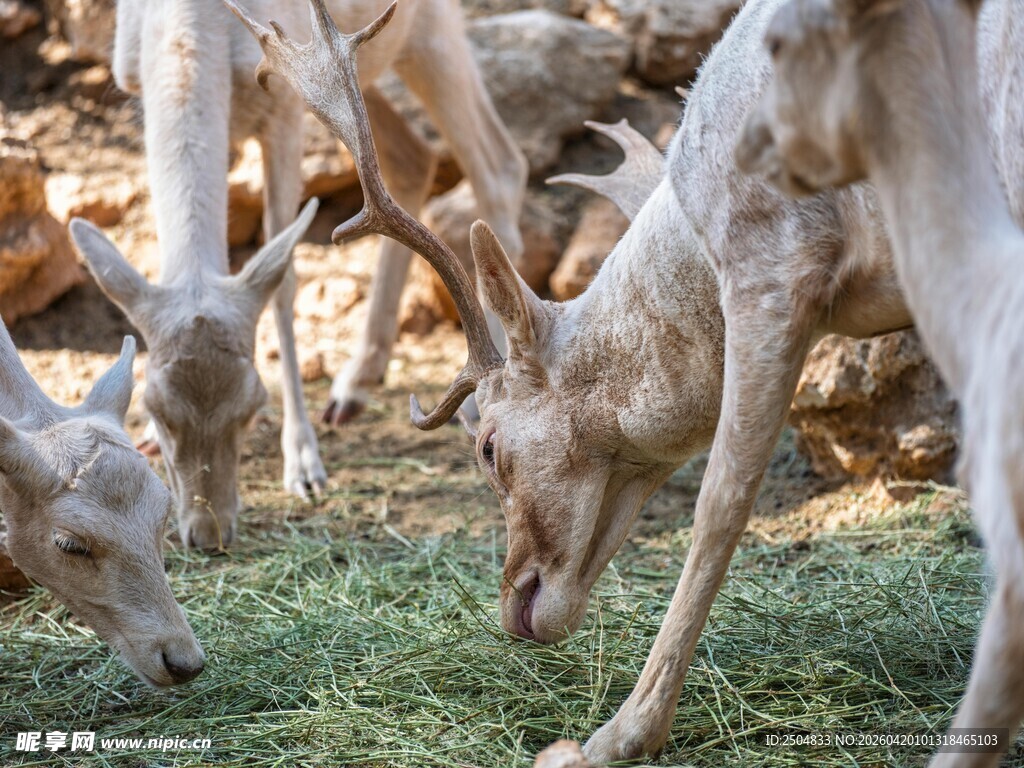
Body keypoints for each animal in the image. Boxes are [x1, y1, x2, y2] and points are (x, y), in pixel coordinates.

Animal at [71, 0, 526, 551]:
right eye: (155, 410)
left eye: (251, 406)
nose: (208, 533)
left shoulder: (284, 110)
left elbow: (284, 280)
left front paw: (304, 462)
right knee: (412, 160)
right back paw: (353, 385)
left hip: (432, 32)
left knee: (498, 167)